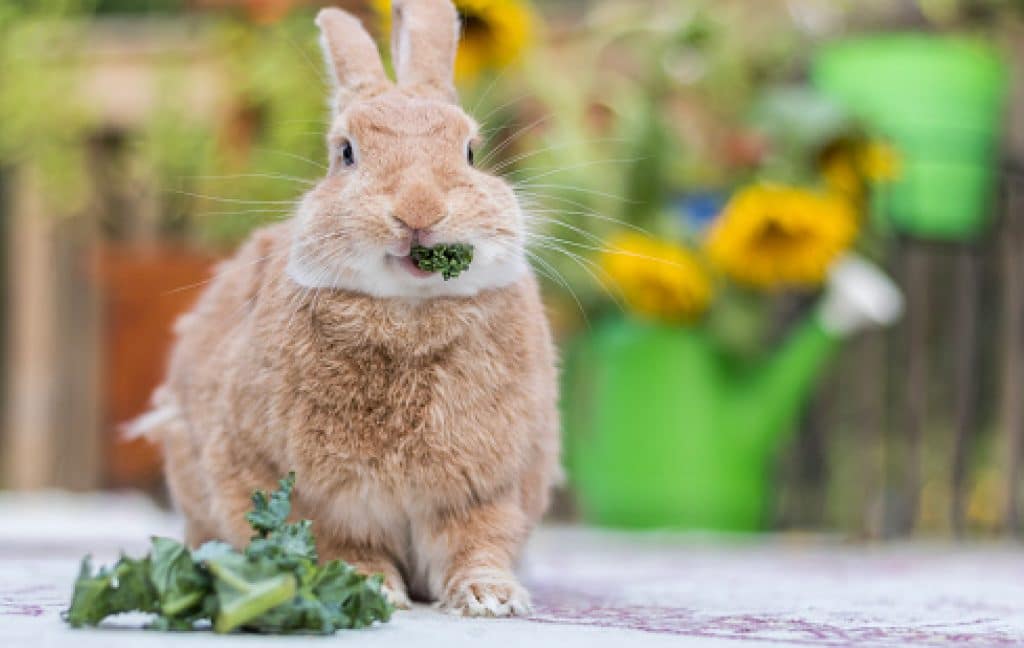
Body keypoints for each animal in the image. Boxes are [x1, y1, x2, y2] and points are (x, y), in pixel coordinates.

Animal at [141, 0, 560, 618]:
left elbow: (479, 542)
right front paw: (370, 588)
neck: (408, 312)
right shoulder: (315, 497)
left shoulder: (488, 490)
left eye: (470, 151)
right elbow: (342, 546)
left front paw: (491, 598)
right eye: (346, 153)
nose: (419, 209)